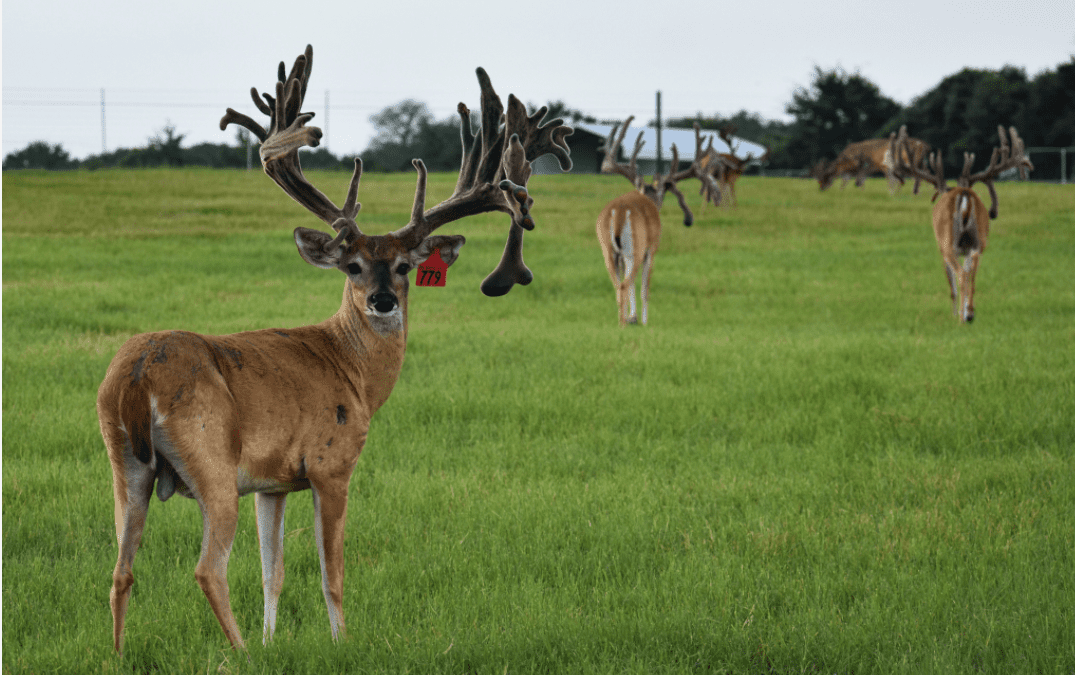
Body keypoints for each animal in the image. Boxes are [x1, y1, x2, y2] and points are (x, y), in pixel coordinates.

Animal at [97, 45, 572, 654]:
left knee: (120, 570)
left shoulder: (271, 481)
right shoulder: (331, 463)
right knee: (207, 568)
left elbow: (272, 571)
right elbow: (332, 572)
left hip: (124, 465)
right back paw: (239, 653)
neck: (353, 370)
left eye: (405, 265)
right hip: (211, 460)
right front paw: (339, 641)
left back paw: (119, 655)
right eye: (353, 266)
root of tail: (136, 377)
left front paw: (274, 642)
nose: (382, 300)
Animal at [595, 117, 719, 326]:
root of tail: (618, 212)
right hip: (635, 247)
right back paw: (623, 325)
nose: (688, 219)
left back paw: (621, 321)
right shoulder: (651, 248)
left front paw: (633, 317)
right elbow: (645, 287)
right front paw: (642, 321)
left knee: (618, 284)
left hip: (608, 249)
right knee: (625, 284)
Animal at [889, 124, 1032, 323]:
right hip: (978, 240)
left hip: (948, 241)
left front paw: (954, 314)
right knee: (972, 273)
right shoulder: (966, 249)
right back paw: (970, 313)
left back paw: (961, 320)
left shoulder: (943, 250)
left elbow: (952, 288)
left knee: (962, 275)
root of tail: (964, 194)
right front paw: (965, 311)